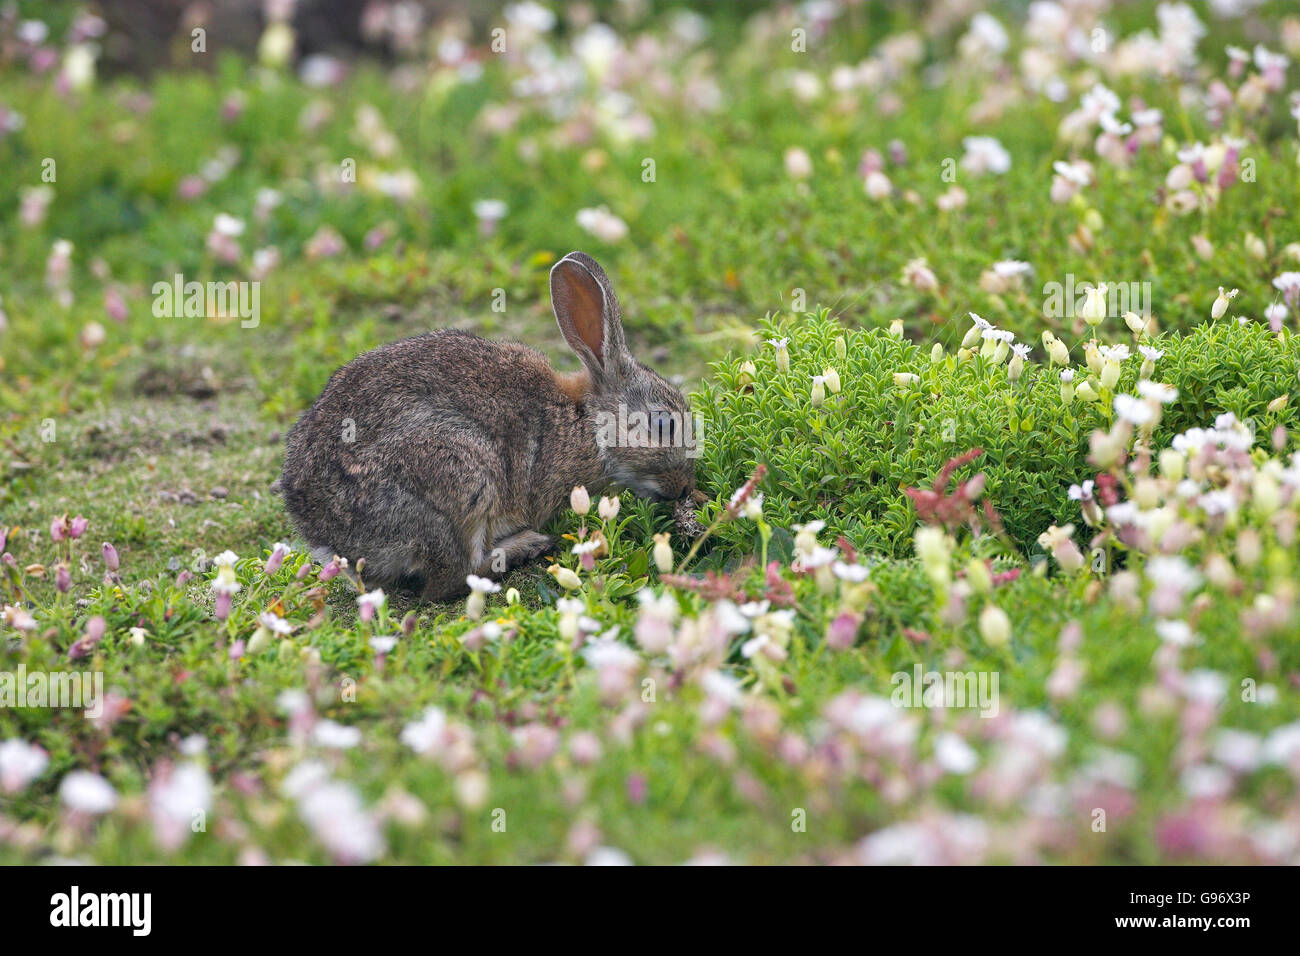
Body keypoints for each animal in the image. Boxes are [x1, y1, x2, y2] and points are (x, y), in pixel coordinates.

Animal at [280, 251, 698, 602]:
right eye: (664, 423)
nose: (684, 488)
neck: (586, 420)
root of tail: (325, 533)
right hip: (459, 481)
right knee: (448, 581)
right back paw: (526, 545)